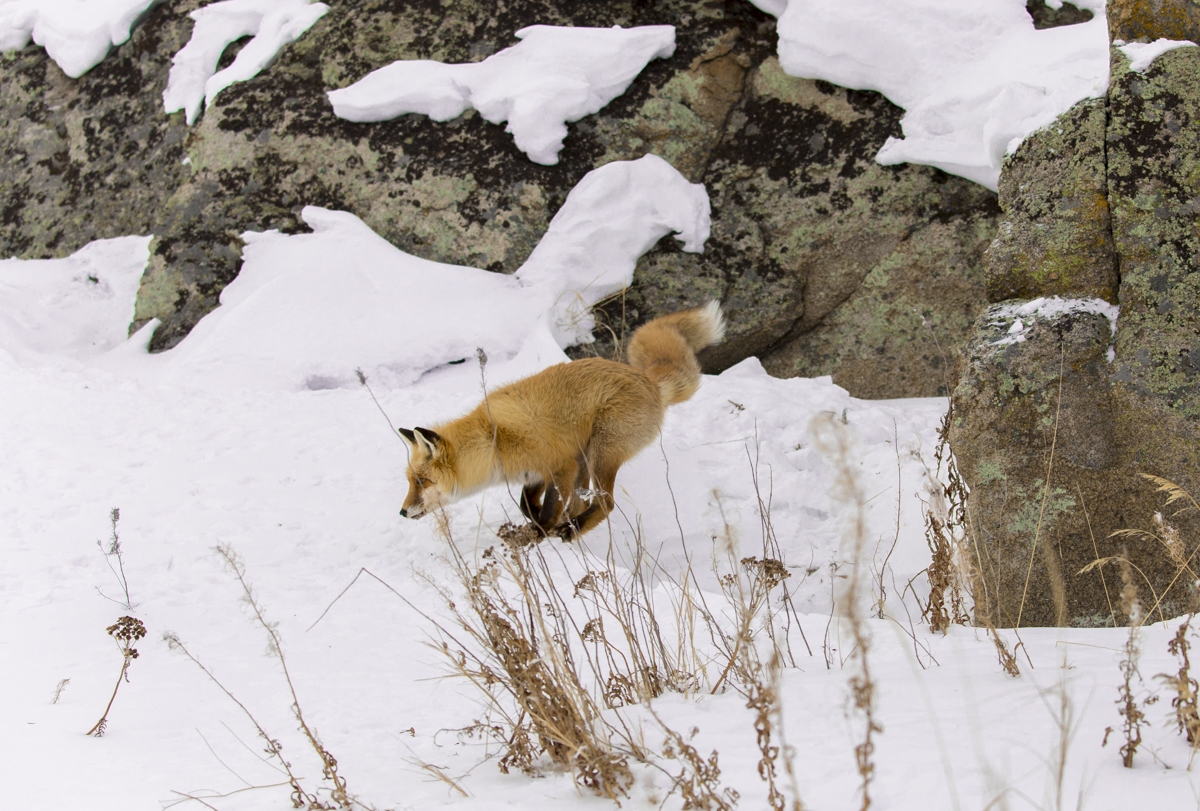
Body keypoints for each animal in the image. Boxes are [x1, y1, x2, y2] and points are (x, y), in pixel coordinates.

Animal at [398, 301, 724, 535]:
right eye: (410, 481)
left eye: (423, 481)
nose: (402, 512)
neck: (493, 440)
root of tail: (648, 379)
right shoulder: (536, 473)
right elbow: (526, 503)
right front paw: (537, 523)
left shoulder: (560, 465)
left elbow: (545, 511)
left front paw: (537, 534)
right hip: (586, 459)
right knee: (584, 501)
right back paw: (570, 523)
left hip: (600, 454)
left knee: (606, 502)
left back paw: (572, 530)